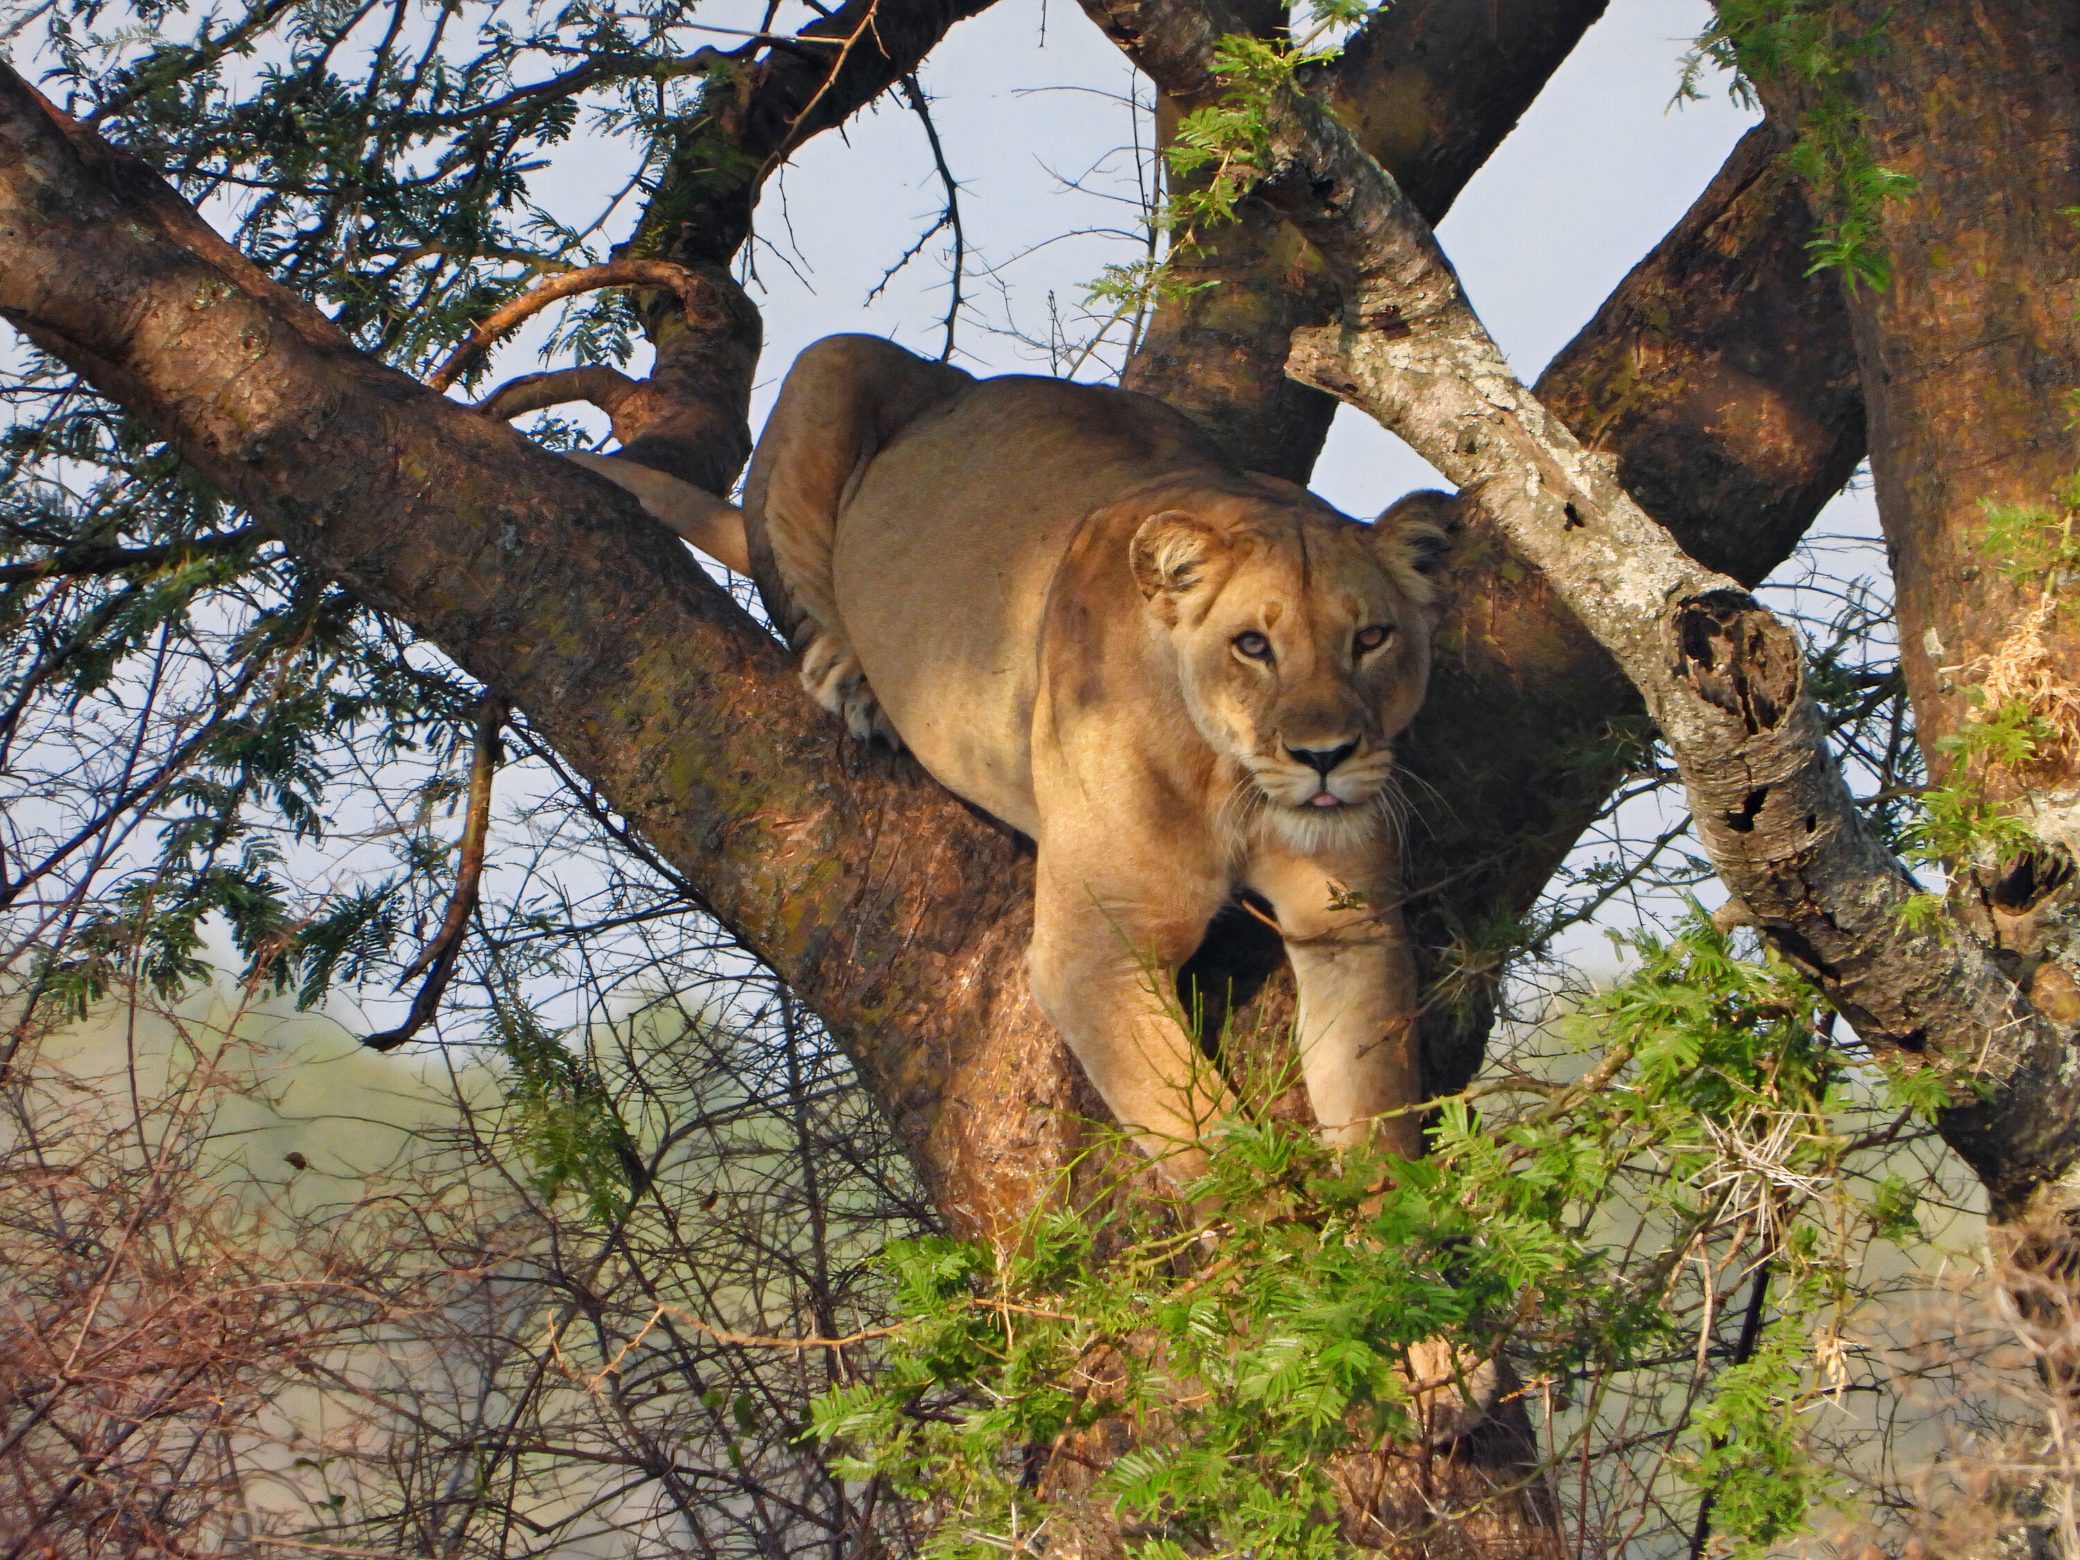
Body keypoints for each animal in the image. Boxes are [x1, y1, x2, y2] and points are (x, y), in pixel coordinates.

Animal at [609, 334, 1448, 1180]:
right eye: (1252, 645)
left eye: (1371, 638)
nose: (1325, 756)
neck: (1231, 779)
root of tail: (954, 380)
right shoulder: (1093, 956)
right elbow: (1208, 1146)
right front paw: (1266, 1212)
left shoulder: (1352, 923)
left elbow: (1375, 1113)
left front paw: (1382, 1213)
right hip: (831, 362)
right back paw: (853, 682)